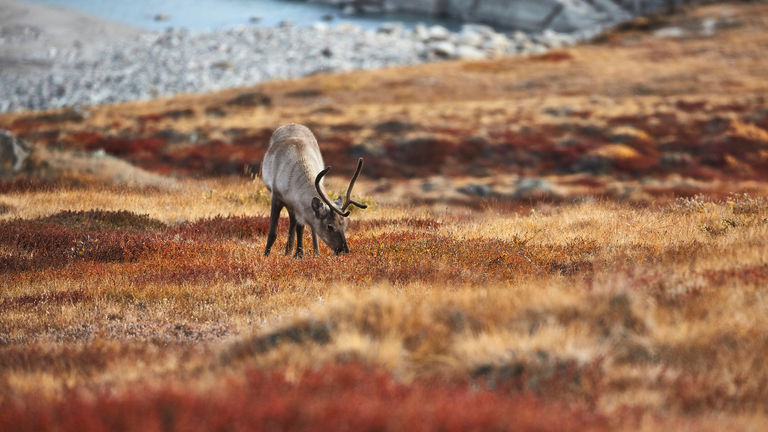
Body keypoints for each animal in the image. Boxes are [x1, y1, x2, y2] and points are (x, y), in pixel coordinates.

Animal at [260, 123, 367, 257]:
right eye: (330, 226)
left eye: (345, 224)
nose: (344, 251)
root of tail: (292, 124)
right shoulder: (276, 197)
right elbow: (273, 232)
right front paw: (266, 255)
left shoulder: (299, 205)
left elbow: (301, 228)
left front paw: (299, 254)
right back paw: (288, 251)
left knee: (302, 228)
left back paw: (307, 251)